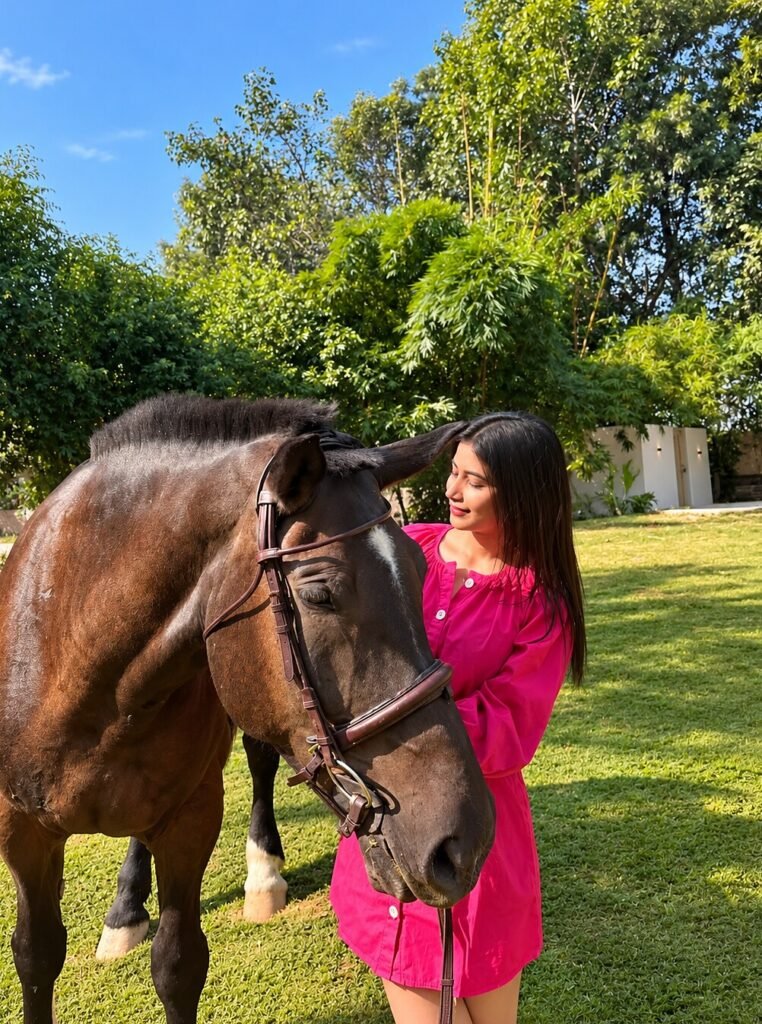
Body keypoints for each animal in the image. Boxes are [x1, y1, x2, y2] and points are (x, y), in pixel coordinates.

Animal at [0, 395, 495, 1024]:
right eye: (319, 594)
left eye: (421, 570)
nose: (465, 842)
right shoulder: (21, 832)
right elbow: (36, 956)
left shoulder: (190, 821)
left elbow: (179, 965)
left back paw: (262, 877)